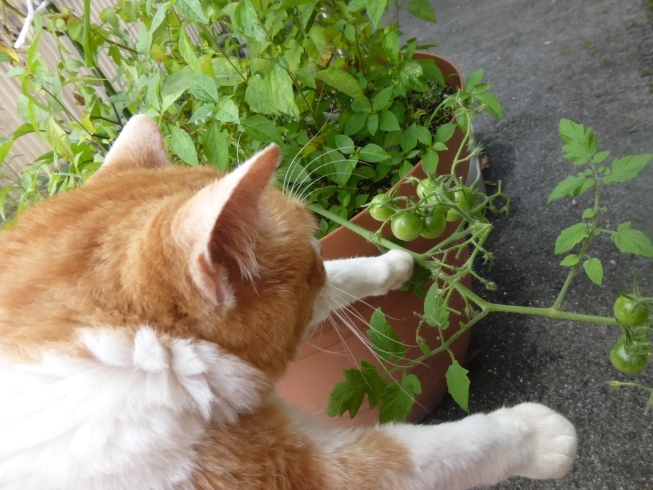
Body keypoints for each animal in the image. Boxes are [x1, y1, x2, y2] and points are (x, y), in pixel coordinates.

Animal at [0, 116, 572, 490]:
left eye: (320, 253)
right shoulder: (307, 472)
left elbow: (348, 278)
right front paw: (537, 436)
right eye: (310, 266)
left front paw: (392, 264)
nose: (320, 256)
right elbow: (434, 452)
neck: (142, 352)